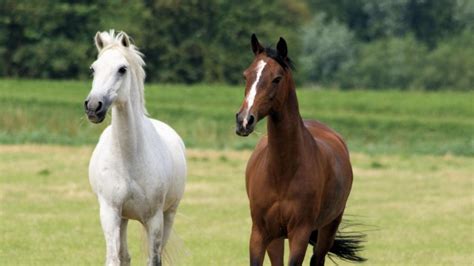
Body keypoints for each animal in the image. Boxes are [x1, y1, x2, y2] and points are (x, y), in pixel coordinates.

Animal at [84, 30, 186, 264]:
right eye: (93, 68)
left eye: (122, 69)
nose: (93, 107)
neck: (129, 156)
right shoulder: (110, 212)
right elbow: (114, 258)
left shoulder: (154, 218)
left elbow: (154, 259)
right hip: (123, 218)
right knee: (125, 256)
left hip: (169, 215)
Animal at [235, 34, 364, 264]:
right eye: (246, 75)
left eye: (277, 79)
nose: (244, 121)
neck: (282, 172)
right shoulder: (260, 233)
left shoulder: (300, 233)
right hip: (276, 237)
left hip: (329, 226)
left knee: (318, 258)